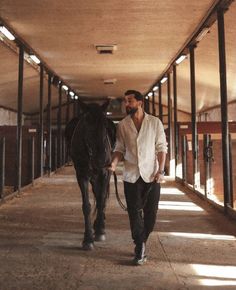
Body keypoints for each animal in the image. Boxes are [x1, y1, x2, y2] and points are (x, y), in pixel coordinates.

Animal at [64, 99, 116, 249]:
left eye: (104, 125)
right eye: (86, 123)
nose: (100, 160)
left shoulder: (105, 173)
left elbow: (102, 199)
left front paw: (100, 231)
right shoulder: (82, 175)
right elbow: (87, 205)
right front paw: (88, 239)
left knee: (101, 198)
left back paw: (100, 224)